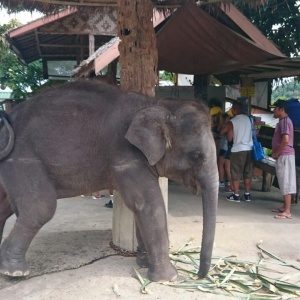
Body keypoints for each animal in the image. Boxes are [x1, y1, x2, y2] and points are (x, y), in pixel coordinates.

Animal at [0, 79, 218, 282]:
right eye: (197, 156)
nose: (198, 276)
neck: (159, 103)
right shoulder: (127, 156)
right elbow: (148, 204)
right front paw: (168, 278)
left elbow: (139, 208)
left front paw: (144, 263)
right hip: (22, 158)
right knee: (40, 208)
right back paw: (15, 272)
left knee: (5, 207)